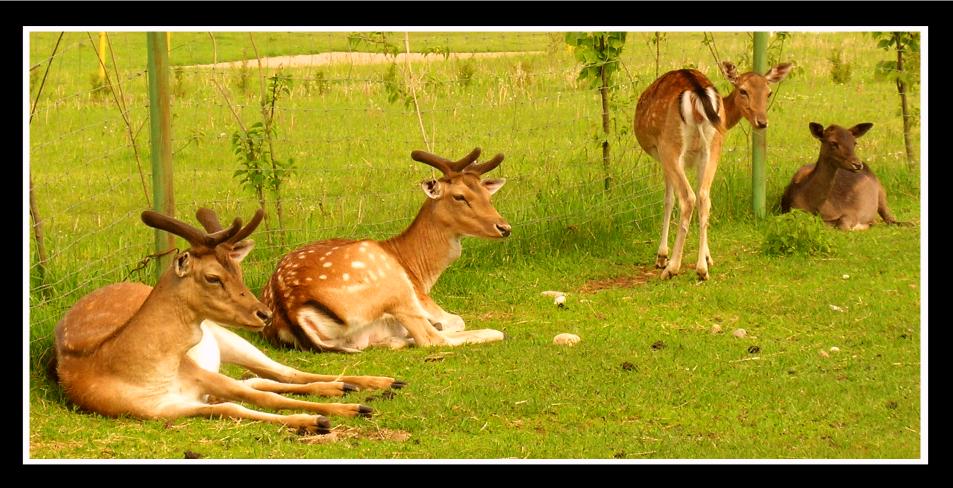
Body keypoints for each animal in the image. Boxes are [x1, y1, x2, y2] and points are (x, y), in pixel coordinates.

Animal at [54, 207, 402, 434]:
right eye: (213, 277)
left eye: (237, 270)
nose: (264, 313)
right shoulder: (162, 409)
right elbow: (237, 405)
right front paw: (316, 420)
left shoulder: (195, 371)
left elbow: (261, 397)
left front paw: (345, 411)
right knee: (260, 379)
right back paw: (345, 388)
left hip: (227, 337)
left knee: (282, 372)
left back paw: (378, 382)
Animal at [260, 147, 510, 352]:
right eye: (459, 196)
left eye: (487, 195)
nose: (504, 228)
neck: (418, 270)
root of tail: (291, 311)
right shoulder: (420, 296)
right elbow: (456, 320)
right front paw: (439, 323)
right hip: (392, 284)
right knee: (431, 339)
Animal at [636, 61, 792, 280]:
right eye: (743, 90)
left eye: (768, 92)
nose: (762, 122)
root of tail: (697, 94)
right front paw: (708, 257)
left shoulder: (662, 155)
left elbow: (668, 200)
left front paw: (661, 257)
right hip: (713, 147)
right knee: (704, 196)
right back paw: (702, 269)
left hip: (670, 147)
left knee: (688, 198)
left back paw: (672, 268)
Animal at [776, 121, 904, 230]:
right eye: (833, 142)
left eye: (854, 142)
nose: (857, 164)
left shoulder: (851, 211)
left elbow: (843, 223)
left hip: (881, 191)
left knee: (891, 219)